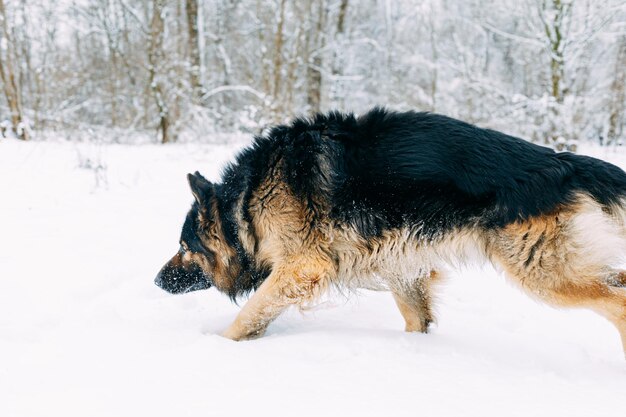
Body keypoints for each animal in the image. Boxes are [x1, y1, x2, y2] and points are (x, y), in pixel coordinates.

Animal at [154, 106, 624, 354]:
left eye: (184, 246)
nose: (157, 281)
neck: (247, 200)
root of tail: (563, 163)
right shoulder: (402, 266)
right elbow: (418, 320)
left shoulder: (302, 268)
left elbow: (249, 314)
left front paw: (219, 346)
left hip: (544, 273)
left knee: (615, 301)